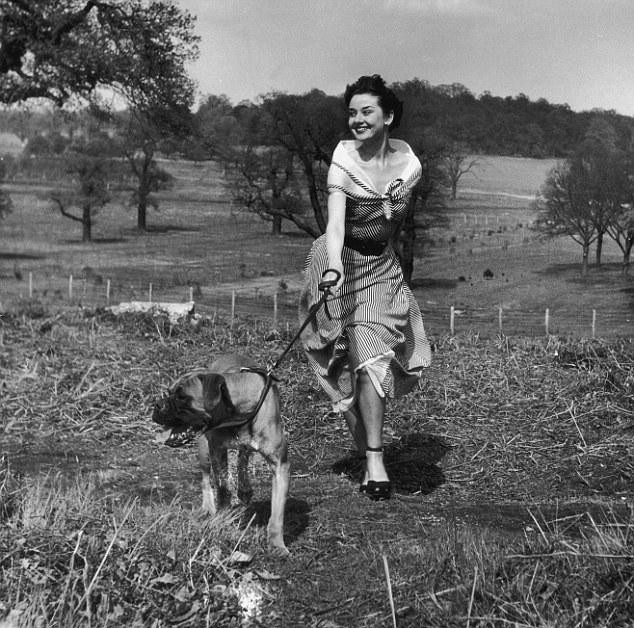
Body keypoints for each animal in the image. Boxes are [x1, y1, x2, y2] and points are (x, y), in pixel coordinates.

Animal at [152, 354, 290, 556]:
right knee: (206, 478)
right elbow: (222, 489)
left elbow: (278, 512)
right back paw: (209, 507)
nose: (157, 405)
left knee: (243, 457)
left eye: (182, 397)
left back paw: (244, 488)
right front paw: (222, 519)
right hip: (204, 451)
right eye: (168, 393)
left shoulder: (280, 466)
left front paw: (277, 544)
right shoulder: (217, 451)